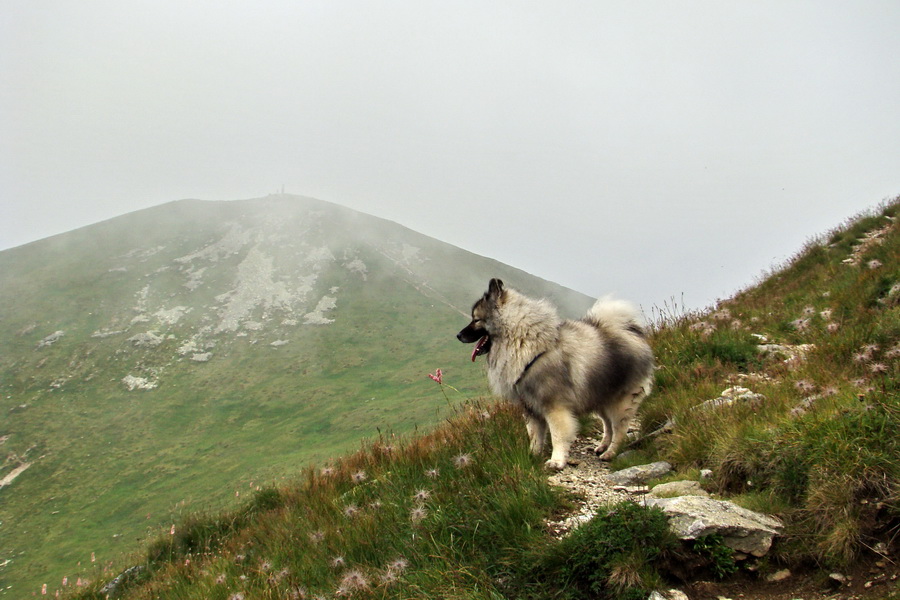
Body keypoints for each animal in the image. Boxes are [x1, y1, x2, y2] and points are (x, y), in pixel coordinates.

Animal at [460, 278, 652, 472]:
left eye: (476, 319)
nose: (458, 335)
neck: (525, 342)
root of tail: (628, 331)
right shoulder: (531, 409)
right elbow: (534, 436)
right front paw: (532, 456)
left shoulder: (555, 408)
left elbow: (558, 436)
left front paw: (556, 461)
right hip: (600, 398)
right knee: (608, 426)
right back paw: (602, 447)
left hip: (619, 402)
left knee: (619, 429)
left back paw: (610, 452)